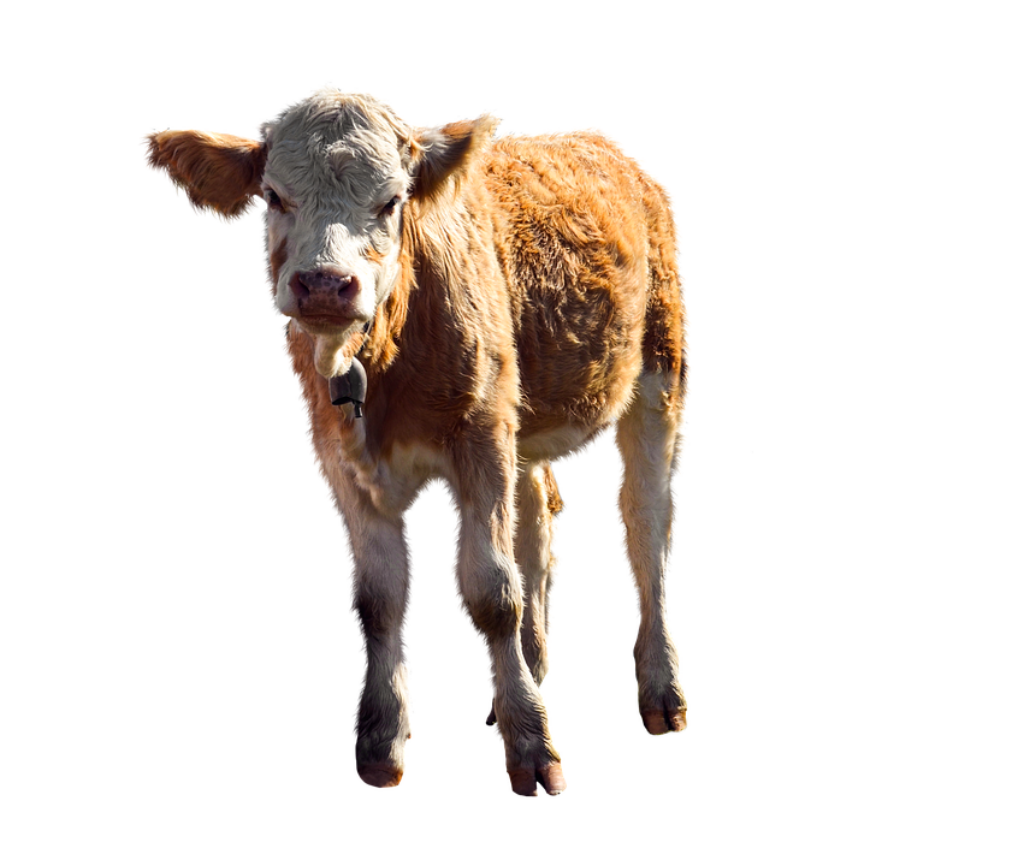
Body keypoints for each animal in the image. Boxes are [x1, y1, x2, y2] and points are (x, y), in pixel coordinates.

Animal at [140, 84, 690, 798]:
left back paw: (661, 691)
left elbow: (491, 592)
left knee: (646, 535)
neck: (381, 358)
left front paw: (533, 749)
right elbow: (378, 601)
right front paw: (383, 743)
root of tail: (599, 140)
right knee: (541, 523)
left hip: (659, 378)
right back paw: (530, 673)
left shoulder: (479, 436)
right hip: (522, 417)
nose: (325, 283)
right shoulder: (341, 461)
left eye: (391, 200)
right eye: (275, 197)